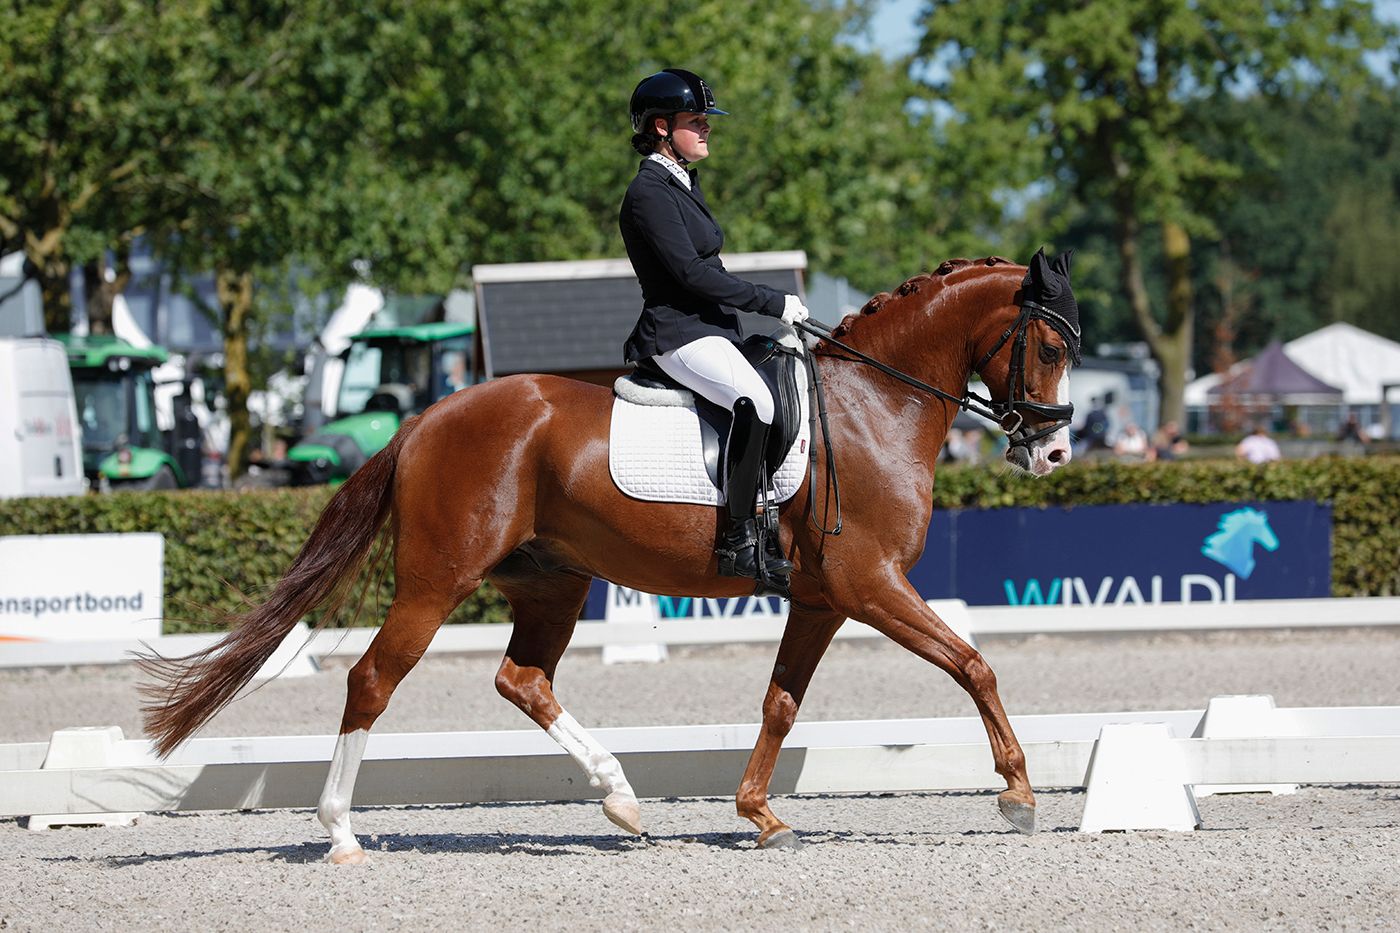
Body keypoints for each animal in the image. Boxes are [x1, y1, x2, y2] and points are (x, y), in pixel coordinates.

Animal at [139, 252, 1080, 863]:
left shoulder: (823, 597)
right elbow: (973, 663)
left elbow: (780, 702)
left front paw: (759, 813)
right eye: (1052, 347)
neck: (873, 404)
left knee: (522, 678)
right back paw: (339, 832)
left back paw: (621, 798)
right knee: (374, 678)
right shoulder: (871, 583)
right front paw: (1018, 794)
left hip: (553, 580)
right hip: (437, 581)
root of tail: (424, 418)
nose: (1052, 455)